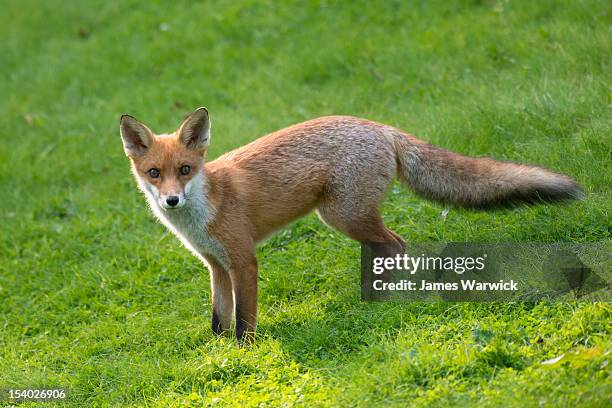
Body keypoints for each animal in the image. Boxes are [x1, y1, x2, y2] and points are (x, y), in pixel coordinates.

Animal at [119, 107, 584, 342]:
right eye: (154, 174)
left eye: (185, 169)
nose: (172, 199)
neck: (203, 209)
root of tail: (378, 125)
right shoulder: (215, 265)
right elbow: (219, 318)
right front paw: (218, 354)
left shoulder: (243, 261)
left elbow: (244, 320)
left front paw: (245, 352)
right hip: (347, 217)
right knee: (387, 249)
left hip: (342, 215)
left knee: (397, 244)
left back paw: (384, 300)